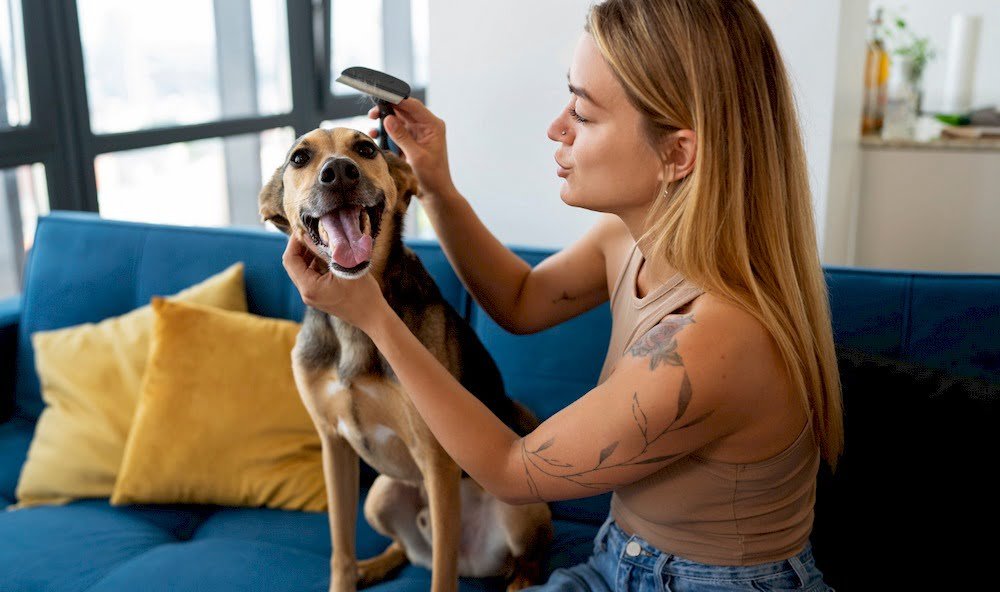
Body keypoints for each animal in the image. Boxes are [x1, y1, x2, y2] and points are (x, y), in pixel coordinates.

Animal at [258, 126, 556, 592]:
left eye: (365, 148)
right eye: (299, 158)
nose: (339, 172)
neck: (354, 328)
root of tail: (477, 565)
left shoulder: (436, 459)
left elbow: (441, 577)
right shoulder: (333, 445)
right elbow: (340, 550)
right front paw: (348, 575)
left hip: (520, 508)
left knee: (518, 559)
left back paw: (521, 583)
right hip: (380, 495)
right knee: (406, 549)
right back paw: (374, 565)